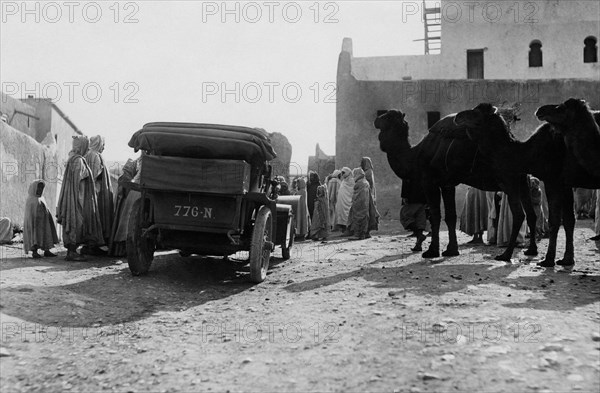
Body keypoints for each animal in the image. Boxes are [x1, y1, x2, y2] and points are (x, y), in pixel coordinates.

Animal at [372, 108, 536, 260]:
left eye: (387, 117)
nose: (376, 120)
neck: (416, 154)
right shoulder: (447, 184)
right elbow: (450, 216)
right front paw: (451, 250)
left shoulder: (429, 182)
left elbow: (435, 215)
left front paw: (431, 251)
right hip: (523, 181)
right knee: (531, 213)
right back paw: (531, 250)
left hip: (509, 181)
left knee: (519, 214)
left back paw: (506, 255)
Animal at [454, 103, 600, 266]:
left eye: (477, 112)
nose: (457, 116)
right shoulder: (565, 183)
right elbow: (568, 220)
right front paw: (567, 259)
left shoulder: (552, 180)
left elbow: (552, 220)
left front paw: (546, 259)